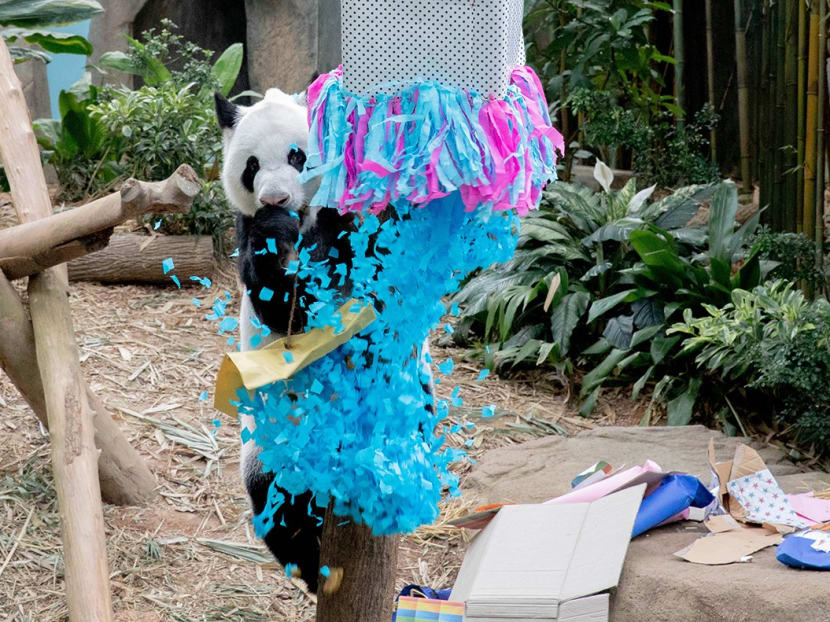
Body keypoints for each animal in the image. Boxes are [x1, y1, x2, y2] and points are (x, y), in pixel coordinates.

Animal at [214, 87, 355, 593]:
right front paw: (276, 235)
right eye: (251, 165)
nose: (276, 198)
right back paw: (312, 567)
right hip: (269, 440)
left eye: (298, 156)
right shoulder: (244, 228)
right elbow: (282, 308)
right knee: (272, 496)